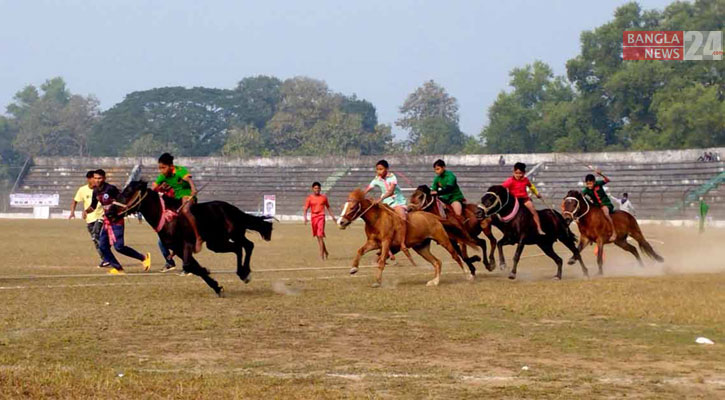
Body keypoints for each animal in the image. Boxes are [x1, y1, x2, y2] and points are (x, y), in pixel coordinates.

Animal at [116, 181, 274, 296]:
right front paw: (215, 285)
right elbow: (194, 266)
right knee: (242, 247)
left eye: (128, 192)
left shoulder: (187, 244)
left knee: (245, 246)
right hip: (217, 242)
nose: (111, 211)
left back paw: (244, 273)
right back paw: (243, 272)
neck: (168, 218)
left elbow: (188, 266)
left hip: (230, 236)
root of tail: (233, 209)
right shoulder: (177, 248)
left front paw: (210, 277)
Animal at [336, 188, 472, 286]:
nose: (341, 222)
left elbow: (381, 261)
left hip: (443, 240)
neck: (376, 219)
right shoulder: (373, 242)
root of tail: (434, 217)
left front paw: (378, 281)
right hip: (421, 248)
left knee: (456, 256)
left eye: (352, 207)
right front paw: (353, 268)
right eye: (343, 207)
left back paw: (468, 275)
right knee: (437, 262)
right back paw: (435, 281)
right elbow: (360, 251)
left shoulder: (386, 241)